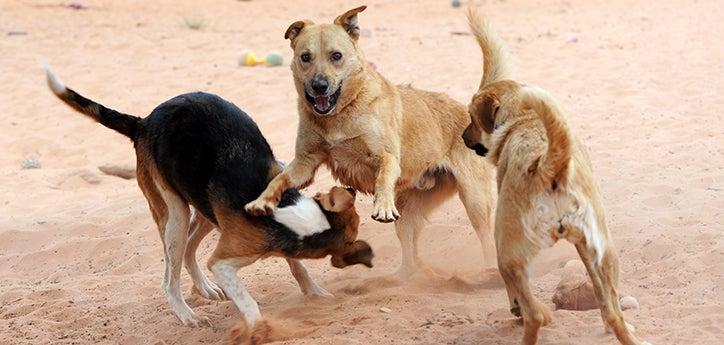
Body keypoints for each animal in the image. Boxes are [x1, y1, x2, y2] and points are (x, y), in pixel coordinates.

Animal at [43, 66, 374, 328]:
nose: (352, 190)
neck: (286, 214)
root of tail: (144, 122)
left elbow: (298, 266)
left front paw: (314, 292)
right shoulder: (225, 262)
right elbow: (247, 299)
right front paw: (259, 329)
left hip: (204, 209)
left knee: (189, 248)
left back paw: (203, 288)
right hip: (174, 214)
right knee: (169, 276)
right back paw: (187, 314)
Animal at [460, 11, 652, 344]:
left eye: (472, 117)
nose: (462, 136)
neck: (523, 118)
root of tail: (548, 166)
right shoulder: (588, 250)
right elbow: (605, 301)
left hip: (506, 251)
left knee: (531, 311)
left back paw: (527, 319)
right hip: (606, 253)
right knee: (613, 310)